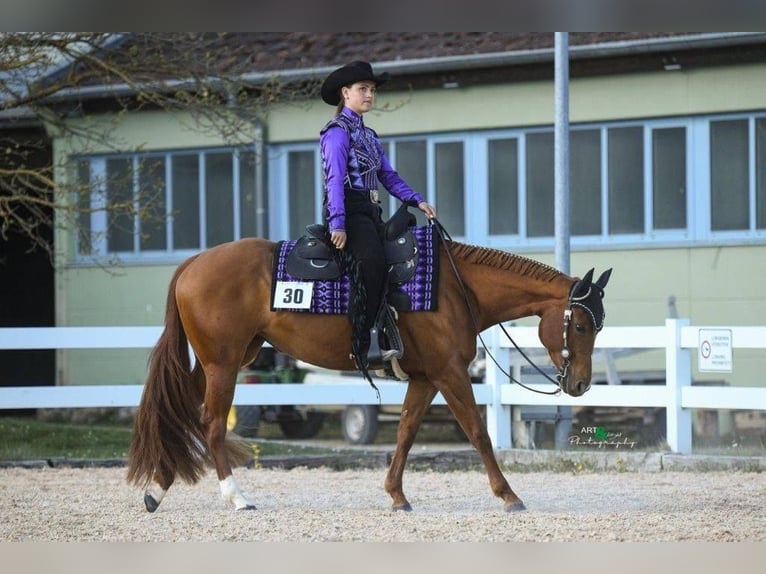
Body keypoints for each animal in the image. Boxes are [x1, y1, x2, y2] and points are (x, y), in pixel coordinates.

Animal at [126, 224, 612, 513]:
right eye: (581, 324)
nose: (581, 384)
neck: (455, 286)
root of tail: (194, 262)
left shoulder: (426, 378)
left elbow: (406, 432)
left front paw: (397, 495)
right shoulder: (450, 373)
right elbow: (477, 431)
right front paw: (509, 495)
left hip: (220, 361)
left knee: (181, 412)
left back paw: (158, 488)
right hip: (223, 364)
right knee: (210, 423)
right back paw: (236, 496)